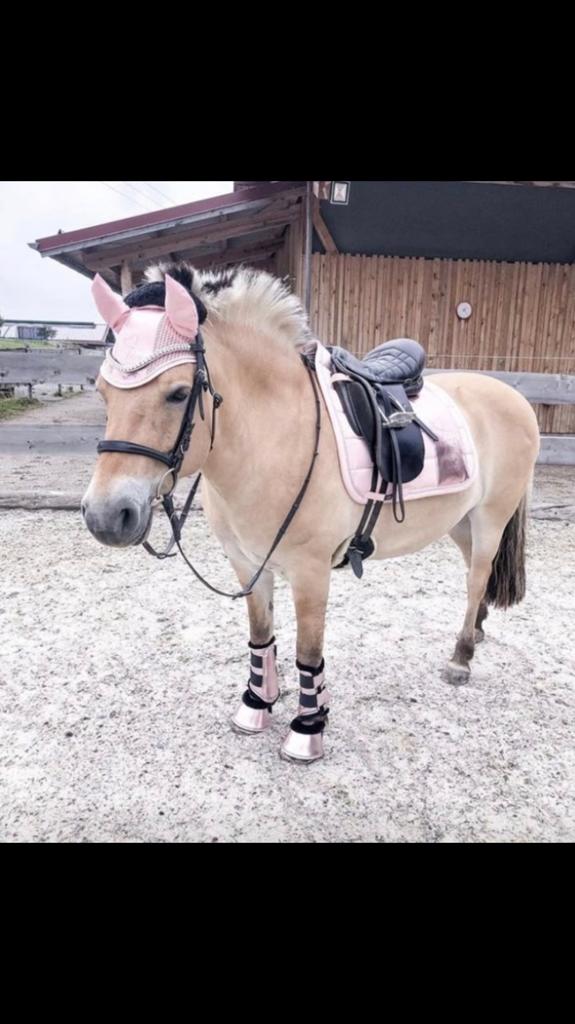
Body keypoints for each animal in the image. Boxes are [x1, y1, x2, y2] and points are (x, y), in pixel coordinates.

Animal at [82, 263, 540, 763]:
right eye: (103, 392)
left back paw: (461, 657)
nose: (106, 515)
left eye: (179, 393)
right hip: (461, 521)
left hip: (491, 516)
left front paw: (306, 729)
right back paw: (477, 631)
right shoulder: (248, 564)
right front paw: (257, 704)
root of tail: (511, 395)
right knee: (475, 573)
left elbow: (308, 650)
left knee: (477, 576)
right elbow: (261, 635)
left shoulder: (311, 571)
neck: (277, 433)